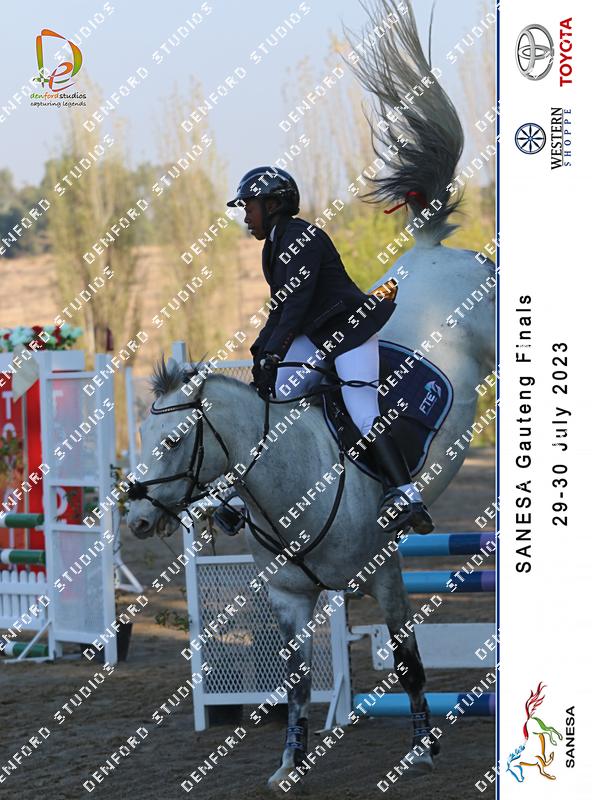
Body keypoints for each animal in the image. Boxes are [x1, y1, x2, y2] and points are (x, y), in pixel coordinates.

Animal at [127, 1, 495, 790]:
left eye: (170, 440)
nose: (137, 518)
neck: (288, 481)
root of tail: (430, 249)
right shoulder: (292, 601)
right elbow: (295, 683)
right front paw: (290, 762)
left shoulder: (386, 571)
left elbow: (409, 660)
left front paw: (422, 747)